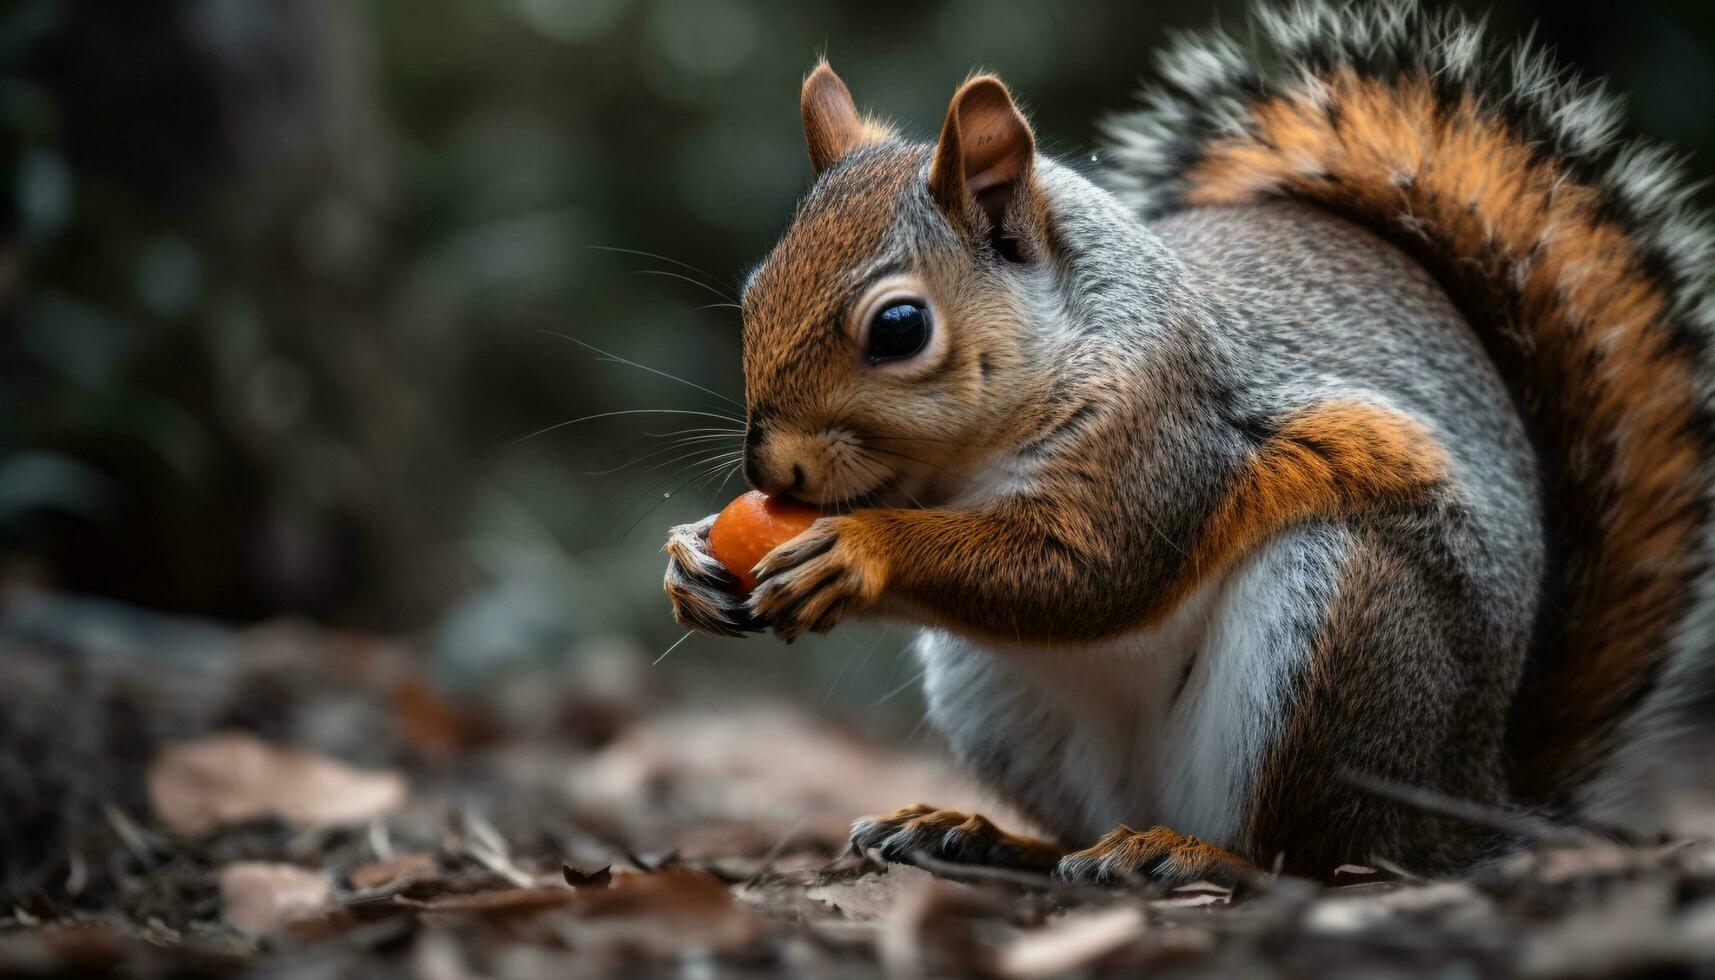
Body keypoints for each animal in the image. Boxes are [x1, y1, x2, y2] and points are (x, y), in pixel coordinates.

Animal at [658, 0, 1715, 885]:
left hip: (1341, 622)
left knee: (1310, 853)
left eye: (900, 328)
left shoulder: (1166, 434)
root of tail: (1470, 801)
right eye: (755, 291)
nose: (769, 468)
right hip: (992, 694)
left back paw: (1189, 854)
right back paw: (978, 834)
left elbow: (1089, 570)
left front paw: (858, 549)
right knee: (1077, 833)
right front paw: (690, 562)